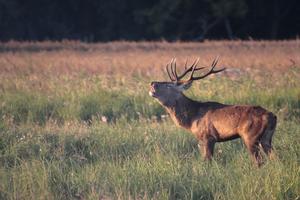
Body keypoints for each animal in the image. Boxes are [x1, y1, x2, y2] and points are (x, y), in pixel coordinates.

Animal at [149, 57, 278, 166]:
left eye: (169, 85)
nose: (152, 83)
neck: (192, 118)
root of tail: (272, 116)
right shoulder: (202, 139)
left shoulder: (209, 136)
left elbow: (207, 160)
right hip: (266, 138)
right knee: (274, 158)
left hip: (250, 136)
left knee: (259, 161)